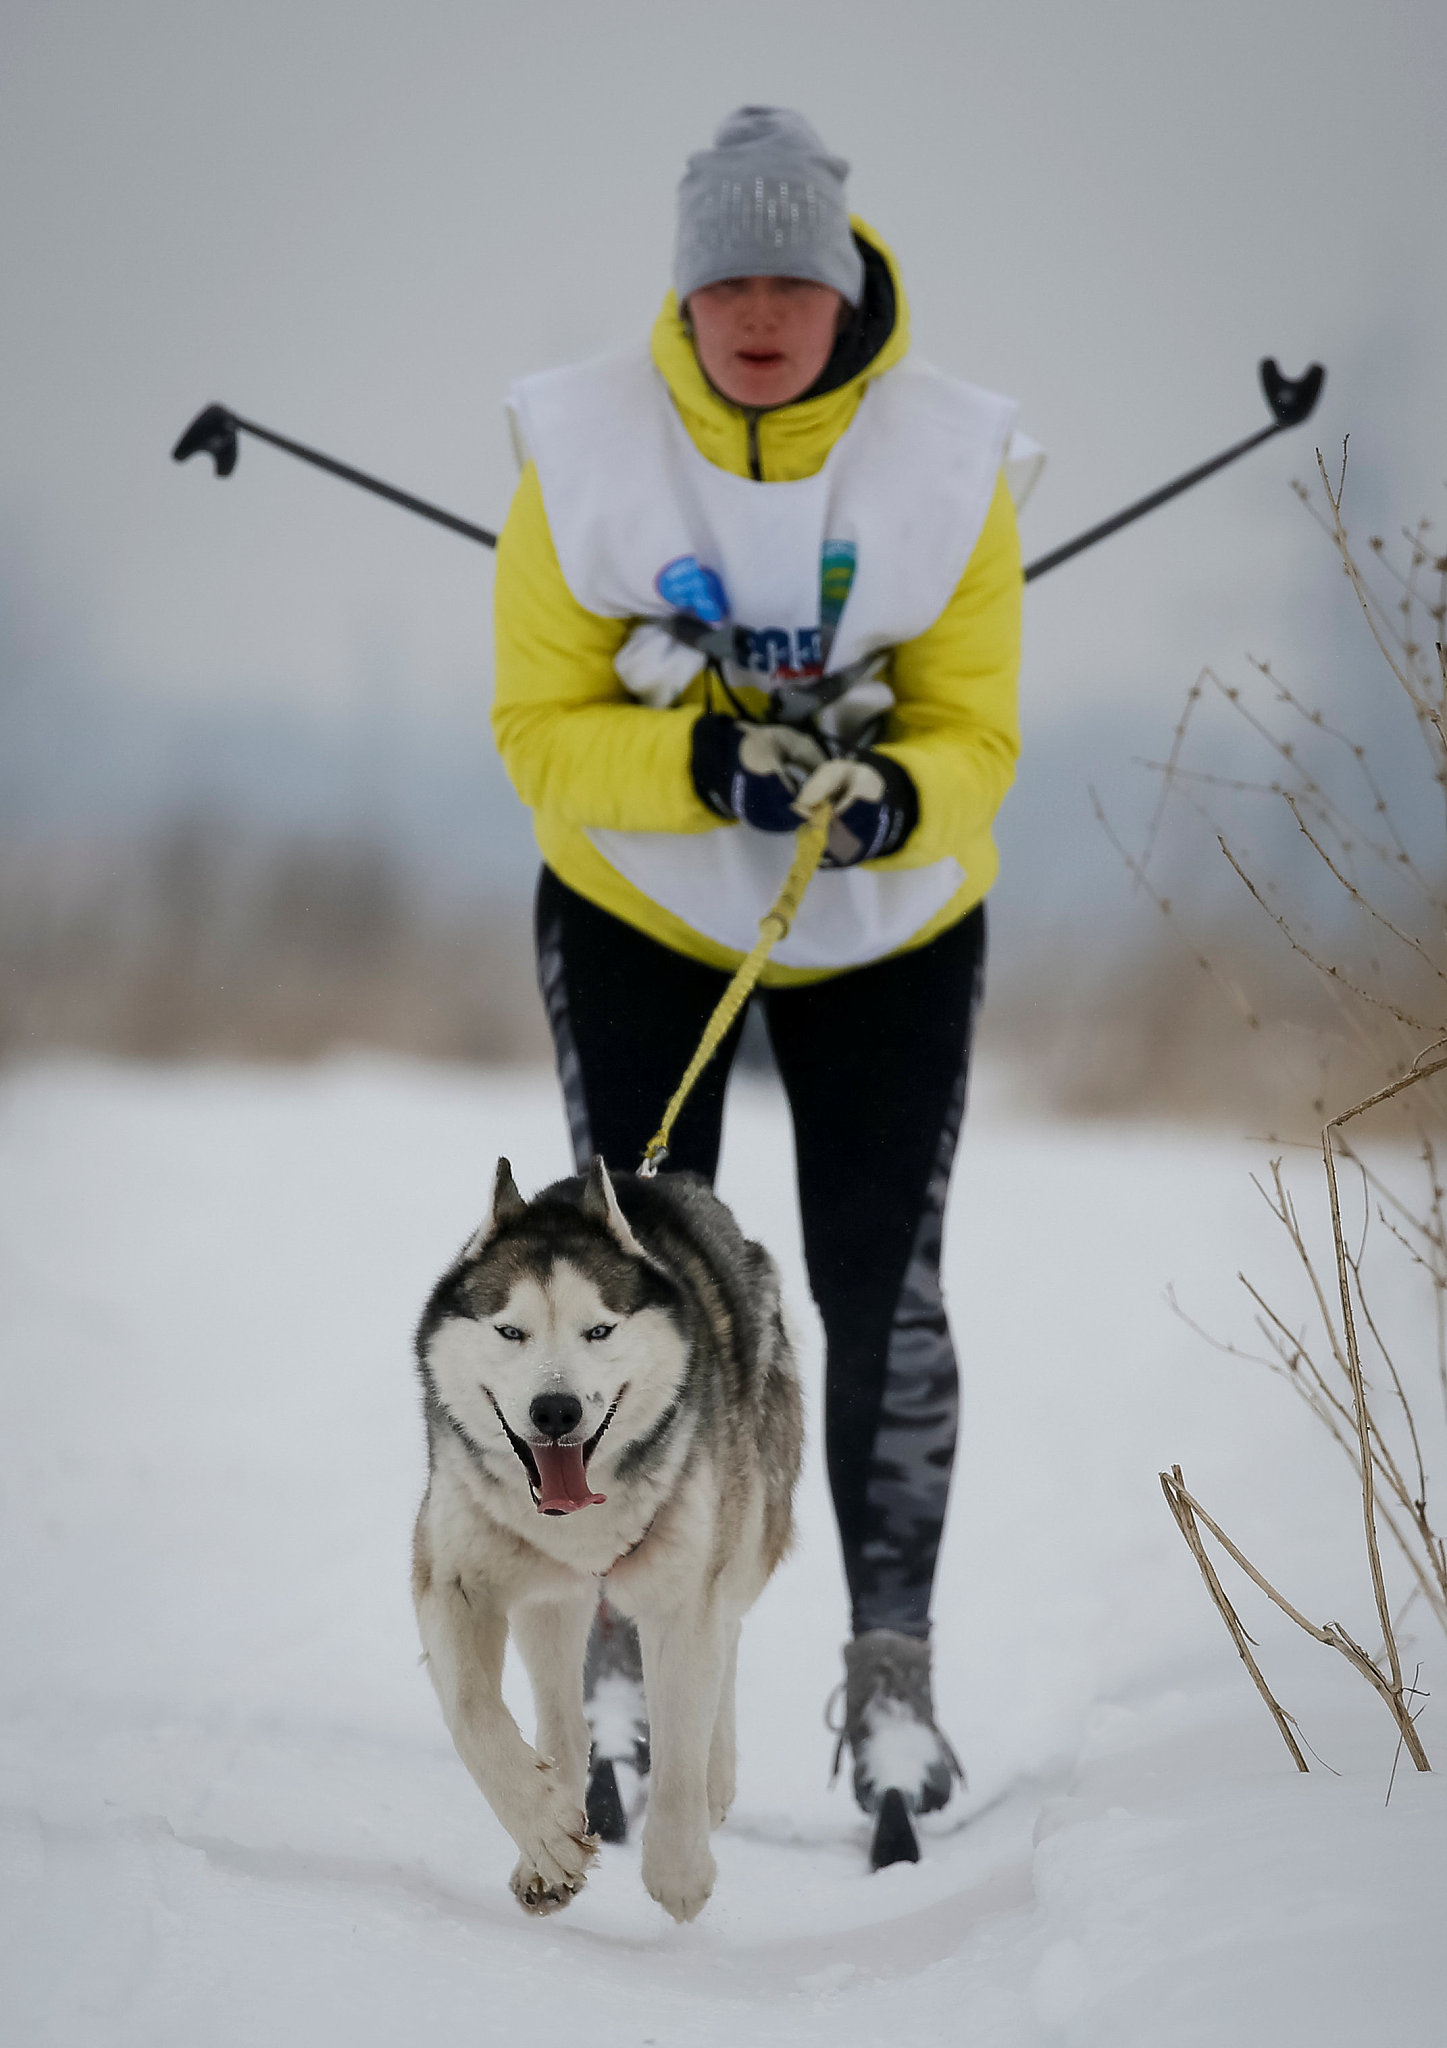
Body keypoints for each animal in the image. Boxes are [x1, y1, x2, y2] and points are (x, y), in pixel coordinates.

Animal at [413, 1163, 810, 1925]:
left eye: (599, 1330)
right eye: (510, 1331)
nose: (555, 1409)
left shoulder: (682, 1597)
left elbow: (679, 1738)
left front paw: (679, 1869)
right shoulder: (452, 1579)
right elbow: (472, 1715)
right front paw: (546, 1835)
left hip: (745, 1532)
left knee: (728, 1635)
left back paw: (716, 1783)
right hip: (552, 1597)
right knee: (562, 1717)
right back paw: (553, 1831)